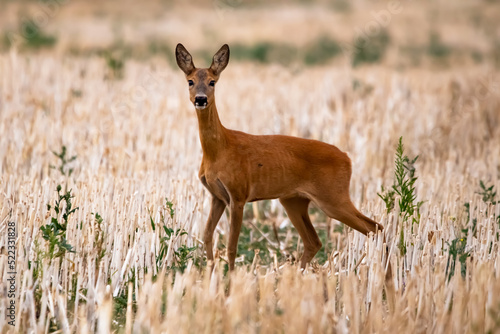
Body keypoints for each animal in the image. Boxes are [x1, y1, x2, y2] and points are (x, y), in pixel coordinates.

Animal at [174, 43, 384, 272]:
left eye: (212, 82)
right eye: (190, 81)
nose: (200, 99)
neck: (220, 150)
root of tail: (347, 159)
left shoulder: (238, 194)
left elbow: (231, 246)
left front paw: (230, 278)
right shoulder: (217, 196)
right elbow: (207, 237)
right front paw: (211, 274)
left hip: (334, 197)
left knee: (375, 227)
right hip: (293, 200)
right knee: (314, 241)